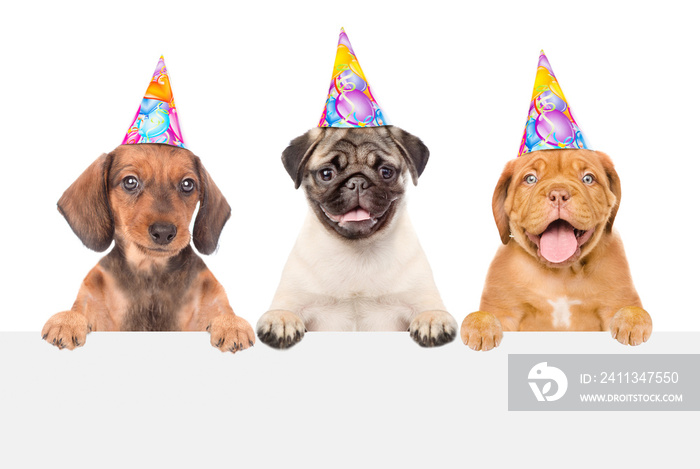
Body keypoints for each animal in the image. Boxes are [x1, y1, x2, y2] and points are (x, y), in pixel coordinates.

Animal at [41, 143, 254, 352]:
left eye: (187, 184)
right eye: (130, 181)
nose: (164, 232)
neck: (151, 272)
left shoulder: (212, 294)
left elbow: (223, 310)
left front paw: (231, 325)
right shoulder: (91, 293)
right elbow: (79, 309)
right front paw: (67, 321)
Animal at [462, 148, 652, 350]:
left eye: (588, 178)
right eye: (530, 179)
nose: (559, 194)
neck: (562, 274)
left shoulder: (616, 300)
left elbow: (630, 309)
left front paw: (632, 321)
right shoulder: (504, 308)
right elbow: (489, 315)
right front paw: (480, 324)